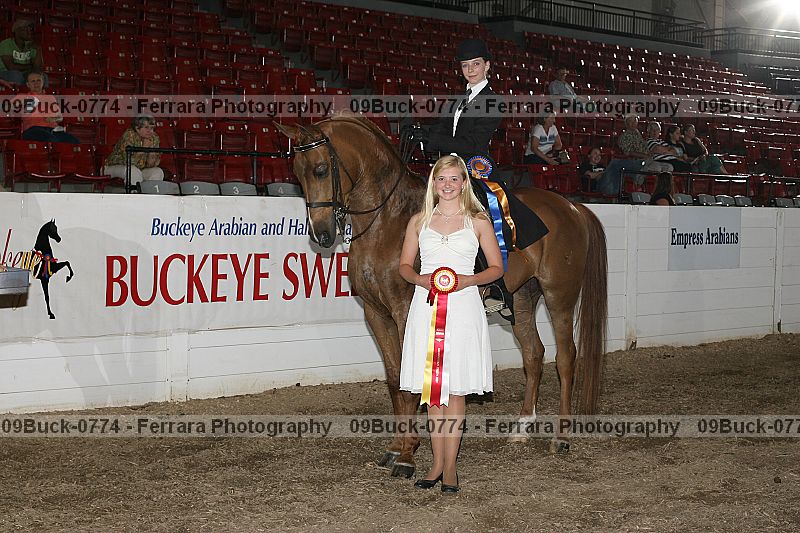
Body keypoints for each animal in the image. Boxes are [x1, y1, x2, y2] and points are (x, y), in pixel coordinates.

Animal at [275, 116, 607, 478]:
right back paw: (521, 429)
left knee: (565, 357)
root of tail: (572, 206)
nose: (321, 235)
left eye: (321, 170)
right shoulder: (375, 314)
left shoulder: (404, 311)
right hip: (522, 298)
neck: (386, 222)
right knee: (534, 355)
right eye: (298, 173)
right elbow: (395, 378)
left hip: (559, 295)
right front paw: (396, 448)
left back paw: (561, 437)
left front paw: (407, 456)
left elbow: (409, 380)